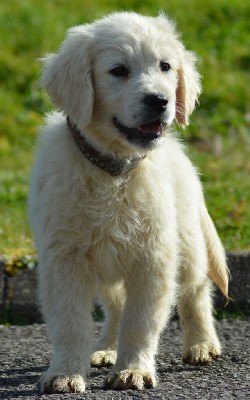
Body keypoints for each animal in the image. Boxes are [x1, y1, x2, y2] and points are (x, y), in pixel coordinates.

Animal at [28, 11, 229, 394]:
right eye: (118, 70)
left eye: (165, 66)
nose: (160, 101)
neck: (114, 170)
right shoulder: (63, 258)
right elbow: (69, 322)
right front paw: (65, 373)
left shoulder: (154, 258)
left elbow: (141, 321)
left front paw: (133, 369)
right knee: (116, 306)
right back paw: (106, 349)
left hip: (187, 243)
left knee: (196, 292)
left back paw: (201, 344)